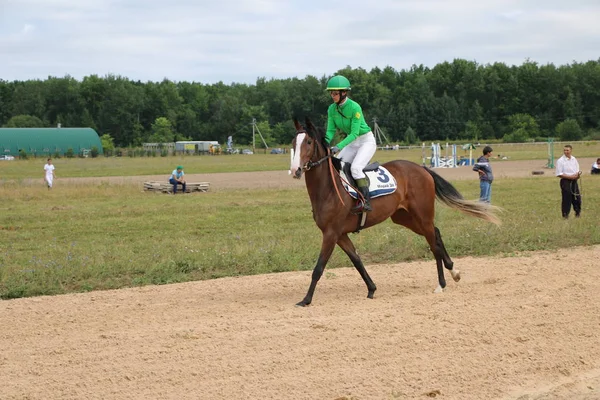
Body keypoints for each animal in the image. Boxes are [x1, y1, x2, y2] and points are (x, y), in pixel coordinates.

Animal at [288, 117, 500, 308]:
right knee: (437, 234)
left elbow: (318, 268)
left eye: (308, 142)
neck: (329, 189)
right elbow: (356, 260)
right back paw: (453, 272)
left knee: (433, 244)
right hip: (405, 218)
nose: (295, 170)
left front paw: (306, 300)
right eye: (293, 143)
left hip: (422, 215)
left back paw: (441, 284)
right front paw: (371, 288)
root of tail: (422, 169)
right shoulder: (340, 234)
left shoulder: (331, 233)